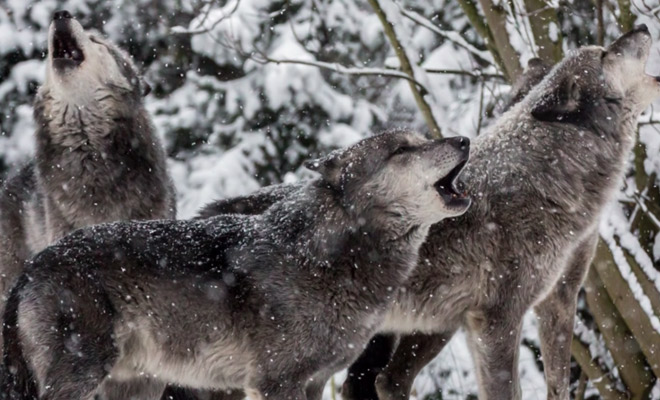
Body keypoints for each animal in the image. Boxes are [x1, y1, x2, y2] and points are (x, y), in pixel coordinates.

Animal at [2, 130, 472, 400]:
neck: (323, 256)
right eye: (403, 149)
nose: (464, 139)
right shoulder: (277, 383)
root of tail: (32, 268)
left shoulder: (314, 381)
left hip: (136, 384)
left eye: (424, 136)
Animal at [196, 25, 660, 400]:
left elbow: (558, 387)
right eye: (606, 53)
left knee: (382, 382)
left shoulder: (556, 303)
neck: (546, 175)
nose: (640, 25)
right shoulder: (497, 319)